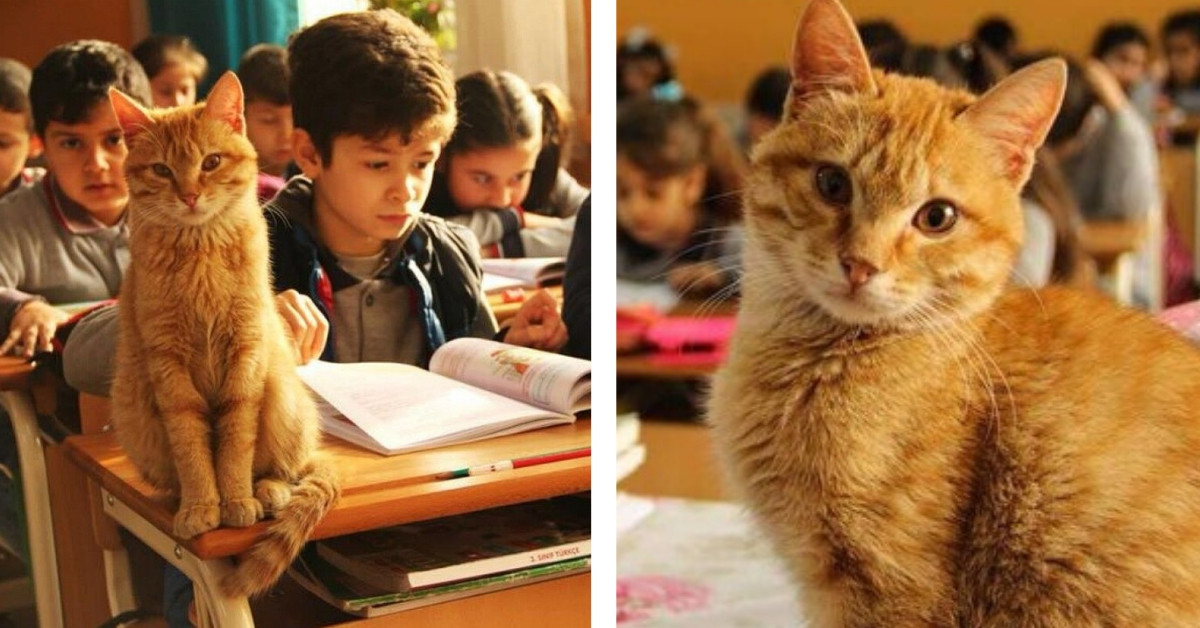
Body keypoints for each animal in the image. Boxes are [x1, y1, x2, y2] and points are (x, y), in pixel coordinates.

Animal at [106, 71, 338, 597]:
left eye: (210, 163)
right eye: (162, 170)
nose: (190, 194)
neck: (200, 252)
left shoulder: (245, 351)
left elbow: (234, 440)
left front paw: (232, 500)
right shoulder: (168, 365)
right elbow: (193, 447)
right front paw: (202, 505)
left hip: (282, 394)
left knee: (289, 470)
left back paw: (266, 491)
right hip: (132, 403)